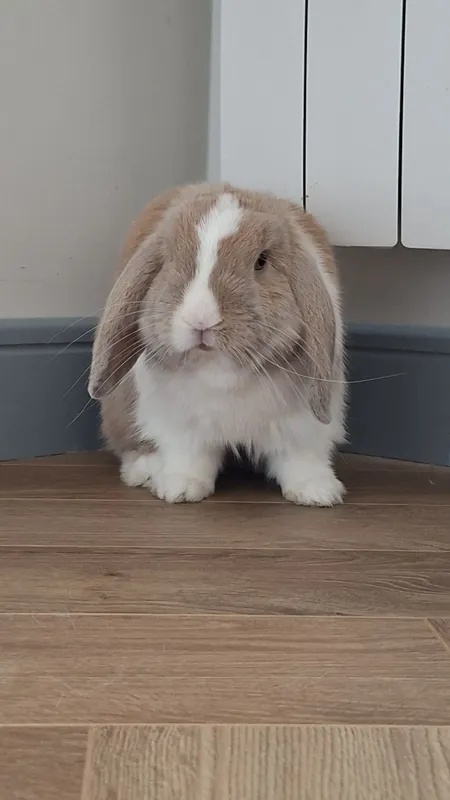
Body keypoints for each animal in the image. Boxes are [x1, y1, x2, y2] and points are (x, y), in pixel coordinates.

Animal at [89, 182, 346, 505]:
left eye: (261, 261)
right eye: (170, 259)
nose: (201, 319)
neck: (219, 372)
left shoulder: (302, 424)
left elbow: (303, 456)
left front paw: (317, 493)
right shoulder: (179, 423)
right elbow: (188, 455)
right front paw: (180, 489)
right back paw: (146, 471)